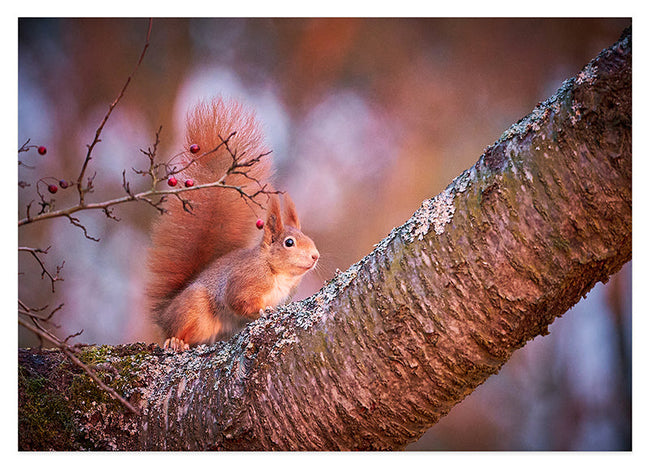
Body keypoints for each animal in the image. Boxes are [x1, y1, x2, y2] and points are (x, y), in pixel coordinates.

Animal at [146, 98, 320, 352]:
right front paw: (263, 310)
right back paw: (175, 340)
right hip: (193, 306)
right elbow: (238, 301)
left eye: (309, 239)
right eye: (289, 243)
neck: (276, 272)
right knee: (177, 329)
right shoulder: (244, 280)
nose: (316, 256)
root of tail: (164, 314)